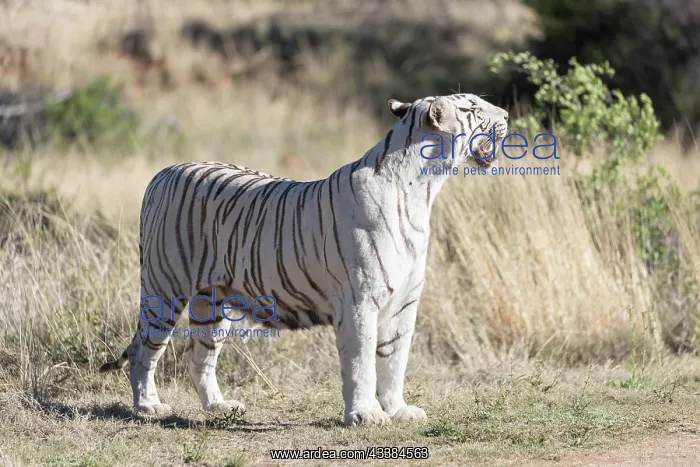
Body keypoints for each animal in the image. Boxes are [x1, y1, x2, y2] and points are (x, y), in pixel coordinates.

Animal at [99, 93, 508, 426]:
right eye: (474, 108)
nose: (506, 113)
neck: (424, 189)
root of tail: (165, 172)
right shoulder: (360, 301)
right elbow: (362, 363)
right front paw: (366, 415)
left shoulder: (405, 303)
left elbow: (394, 360)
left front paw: (398, 410)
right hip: (164, 289)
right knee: (144, 350)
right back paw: (149, 407)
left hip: (213, 301)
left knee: (200, 357)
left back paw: (220, 407)